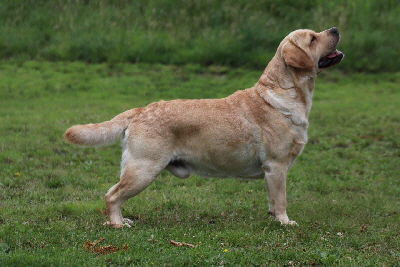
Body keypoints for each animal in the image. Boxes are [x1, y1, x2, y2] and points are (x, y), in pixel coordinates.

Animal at [64, 27, 342, 228]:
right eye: (313, 38)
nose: (335, 29)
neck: (283, 94)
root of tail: (140, 110)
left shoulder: (273, 172)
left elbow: (273, 201)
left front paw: (274, 217)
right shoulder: (276, 166)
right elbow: (281, 199)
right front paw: (285, 223)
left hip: (135, 168)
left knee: (113, 193)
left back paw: (122, 220)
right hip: (144, 169)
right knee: (111, 196)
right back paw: (118, 225)